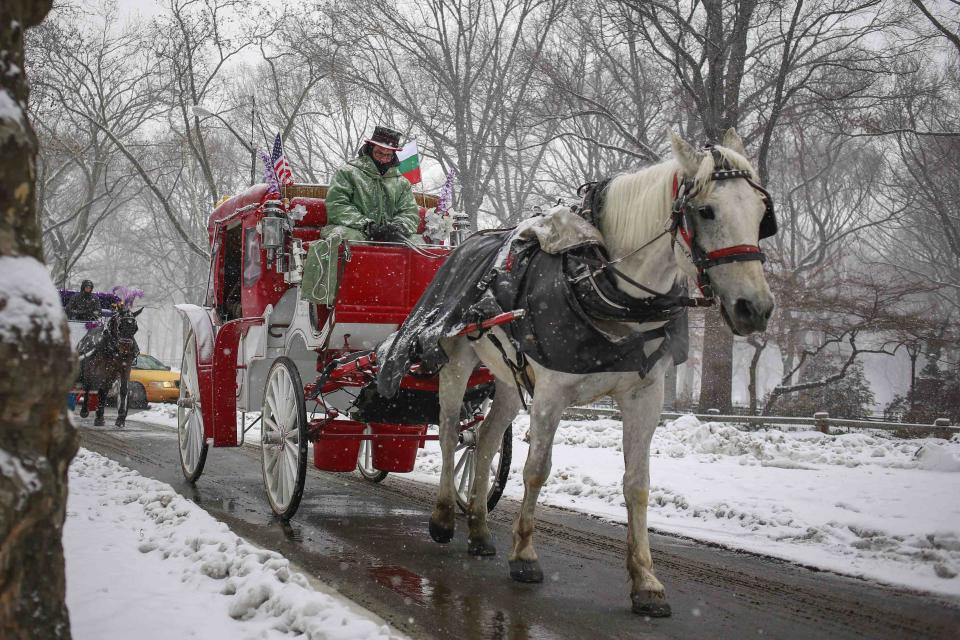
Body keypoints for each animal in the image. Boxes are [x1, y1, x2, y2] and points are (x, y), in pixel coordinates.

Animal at [432, 130, 776, 616]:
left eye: (762, 214)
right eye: (707, 210)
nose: (755, 307)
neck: (605, 288)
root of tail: (462, 243)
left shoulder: (645, 395)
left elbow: (638, 484)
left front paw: (646, 581)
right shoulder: (551, 392)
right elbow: (537, 469)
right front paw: (525, 556)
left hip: (505, 378)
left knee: (483, 442)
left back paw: (479, 530)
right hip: (458, 359)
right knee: (448, 433)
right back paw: (444, 516)